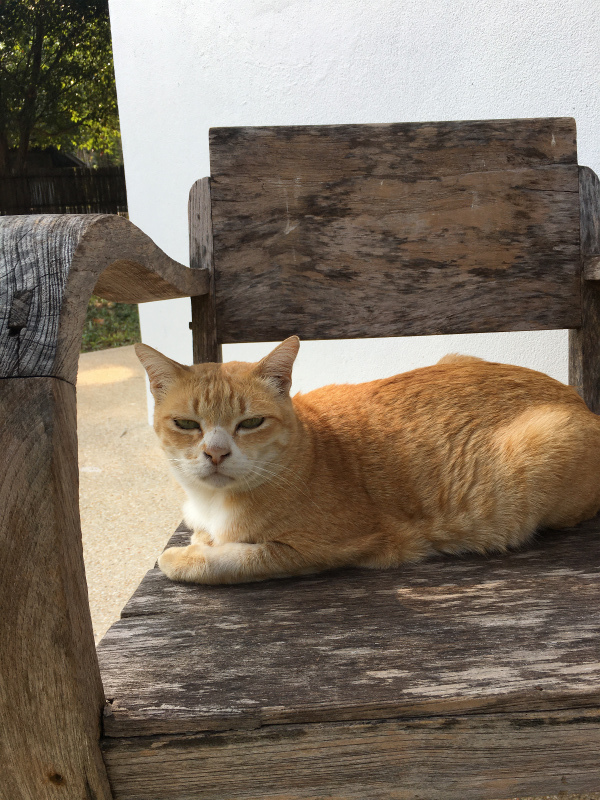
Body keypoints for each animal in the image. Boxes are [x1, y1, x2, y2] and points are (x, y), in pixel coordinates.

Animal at [135, 337, 600, 585]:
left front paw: (187, 555)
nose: (215, 453)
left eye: (250, 423)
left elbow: (234, 559)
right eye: (186, 424)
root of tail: (581, 402)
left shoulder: (319, 549)